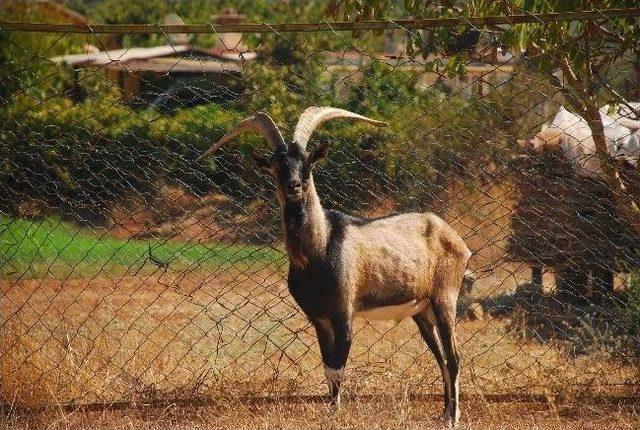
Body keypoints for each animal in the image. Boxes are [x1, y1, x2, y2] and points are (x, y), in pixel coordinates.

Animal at [202, 107, 472, 426]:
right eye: (276, 166)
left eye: (307, 162)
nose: (294, 186)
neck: (318, 250)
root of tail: (451, 236)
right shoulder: (320, 320)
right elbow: (327, 368)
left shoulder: (344, 313)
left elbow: (338, 368)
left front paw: (335, 415)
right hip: (422, 310)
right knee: (440, 357)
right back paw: (443, 414)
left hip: (444, 299)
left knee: (453, 357)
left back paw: (454, 418)